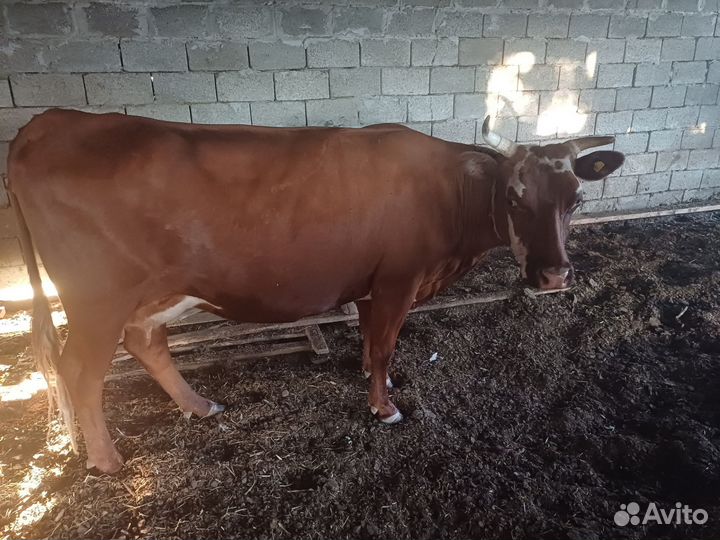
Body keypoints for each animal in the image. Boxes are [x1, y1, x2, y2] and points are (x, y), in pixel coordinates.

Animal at [7, 109, 624, 473]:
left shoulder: (373, 285)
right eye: (515, 198)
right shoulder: (399, 278)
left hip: (156, 291)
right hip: (96, 299)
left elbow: (372, 340)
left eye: (576, 200)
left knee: (145, 342)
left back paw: (199, 406)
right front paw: (384, 408)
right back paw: (107, 460)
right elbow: (384, 344)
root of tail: (50, 120)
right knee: (80, 371)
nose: (553, 276)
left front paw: (376, 383)